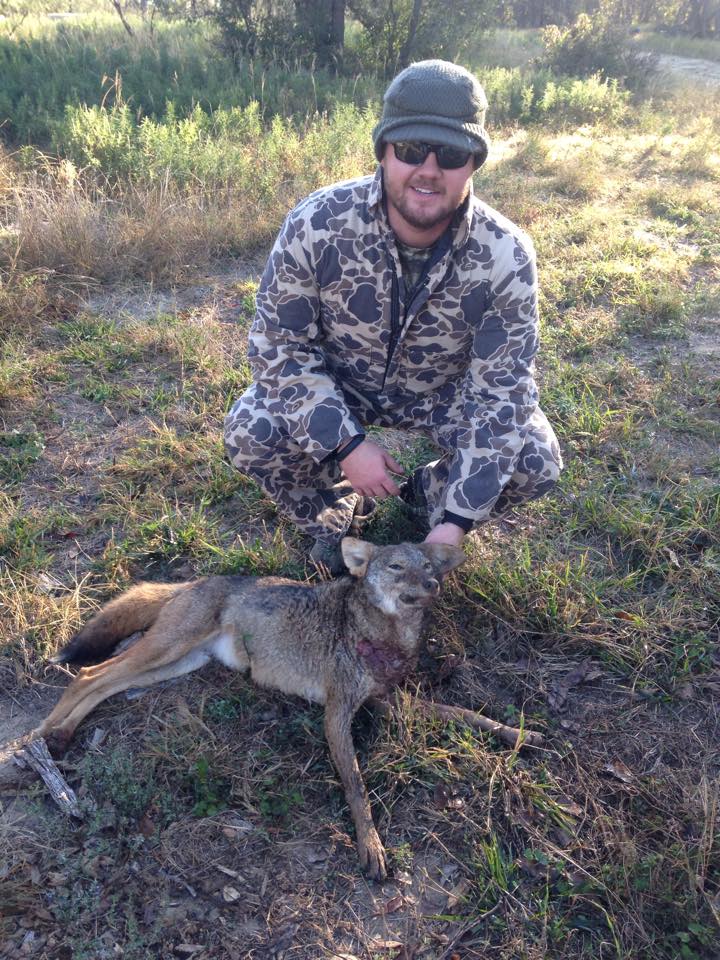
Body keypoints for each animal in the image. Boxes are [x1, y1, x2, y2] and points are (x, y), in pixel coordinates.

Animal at [33, 538, 535, 879]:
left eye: (428, 566)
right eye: (396, 567)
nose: (432, 583)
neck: (382, 633)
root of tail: (196, 581)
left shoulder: (386, 701)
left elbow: (464, 715)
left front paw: (516, 733)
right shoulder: (337, 714)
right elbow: (357, 789)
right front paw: (371, 847)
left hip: (175, 665)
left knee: (103, 682)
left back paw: (56, 738)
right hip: (165, 653)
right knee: (88, 675)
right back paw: (40, 741)